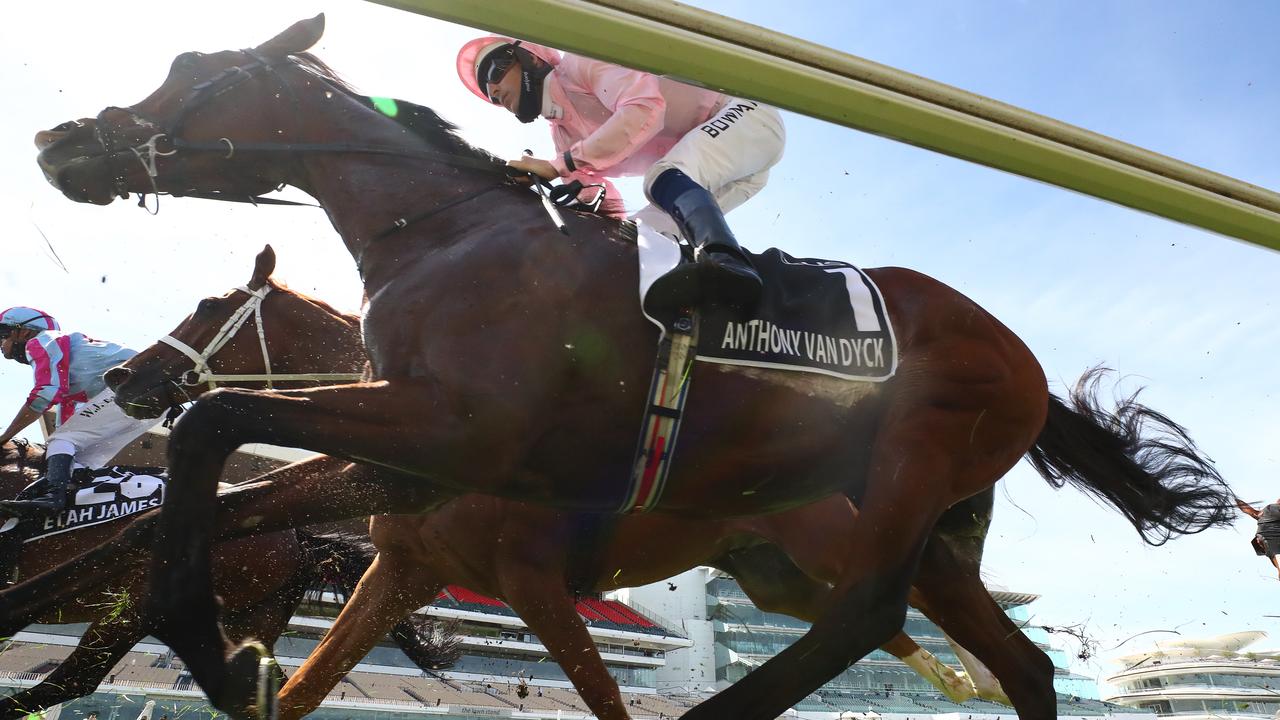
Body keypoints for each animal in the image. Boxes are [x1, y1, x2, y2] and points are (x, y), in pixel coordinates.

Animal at [27, 15, 1228, 717]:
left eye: (197, 71)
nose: (60, 142)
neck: (444, 232)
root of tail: (1018, 356)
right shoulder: (412, 489)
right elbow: (221, 475)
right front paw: (206, 646)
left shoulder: (458, 440)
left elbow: (214, 421)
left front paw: (207, 641)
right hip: (915, 530)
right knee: (1010, 661)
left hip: (902, 475)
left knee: (867, 617)